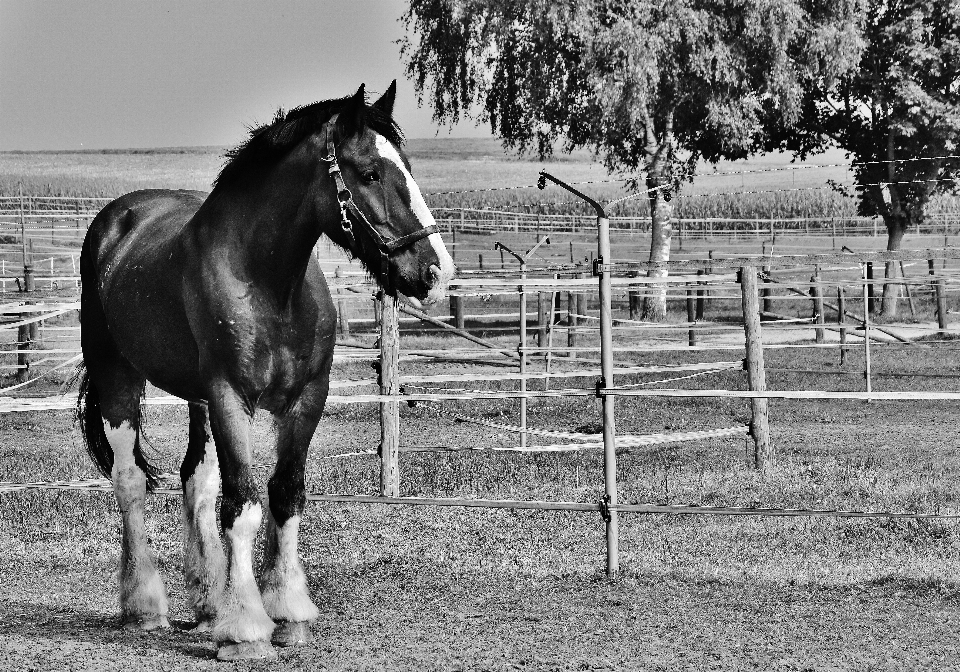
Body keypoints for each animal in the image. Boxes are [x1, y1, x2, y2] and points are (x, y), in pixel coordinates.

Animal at [75, 80, 458, 660]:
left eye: (407, 167)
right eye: (370, 172)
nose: (436, 272)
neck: (270, 285)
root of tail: (117, 220)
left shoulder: (305, 399)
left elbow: (284, 494)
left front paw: (288, 612)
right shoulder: (231, 397)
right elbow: (244, 503)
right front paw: (246, 629)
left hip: (197, 401)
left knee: (196, 481)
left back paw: (208, 599)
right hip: (119, 377)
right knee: (130, 482)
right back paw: (145, 606)